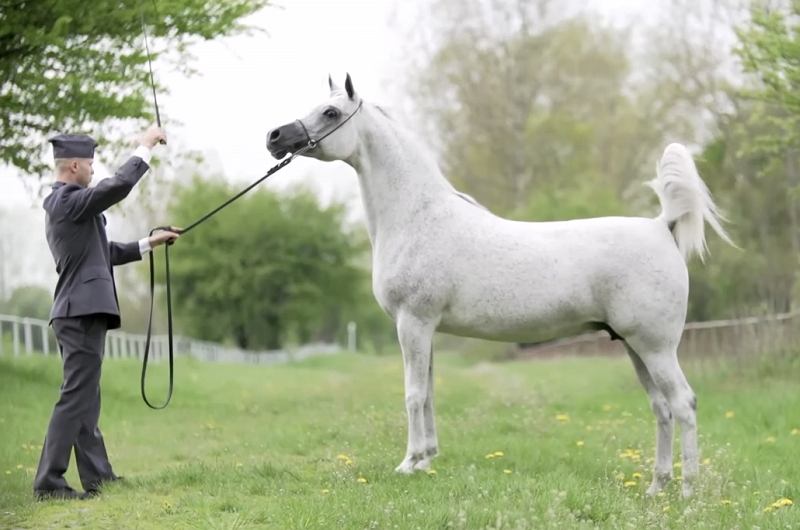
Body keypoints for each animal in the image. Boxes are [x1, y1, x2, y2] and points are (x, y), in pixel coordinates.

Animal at [266, 74, 733, 498]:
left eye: (331, 112)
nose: (275, 137)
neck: (418, 216)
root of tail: (660, 226)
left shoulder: (412, 322)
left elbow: (413, 394)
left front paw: (408, 463)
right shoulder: (426, 328)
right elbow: (429, 392)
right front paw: (427, 460)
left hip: (656, 347)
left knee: (684, 404)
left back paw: (688, 492)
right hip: (635, 347)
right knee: (661, 408)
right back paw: (657, 486)